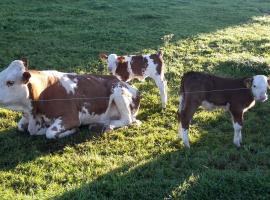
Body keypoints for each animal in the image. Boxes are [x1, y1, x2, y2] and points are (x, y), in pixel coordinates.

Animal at [0, 58, 141, 138]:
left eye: (10, 82)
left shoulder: (71, 117)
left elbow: (49, 132)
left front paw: (71, 130)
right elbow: (20, 126)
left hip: (118, 91)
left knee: (127, 120)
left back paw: (105, 125)